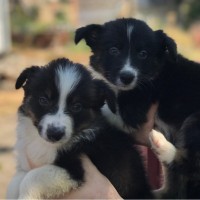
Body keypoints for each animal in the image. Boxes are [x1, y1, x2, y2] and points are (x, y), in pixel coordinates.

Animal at [6, 57, 153, 198]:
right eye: (43, 100)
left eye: (77, 106)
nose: (55, 133)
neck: (44, 144)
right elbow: (15, 183)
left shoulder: (73, 169)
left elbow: (31, 178)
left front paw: (25, 196)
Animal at [74, 18, 200, 198]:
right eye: (113, 50)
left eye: (143, 54)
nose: (127, 77)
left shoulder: (132, 111)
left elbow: (106, 110)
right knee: (174, 187)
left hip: (194, 122)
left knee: (188, 164)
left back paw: (161, 144)